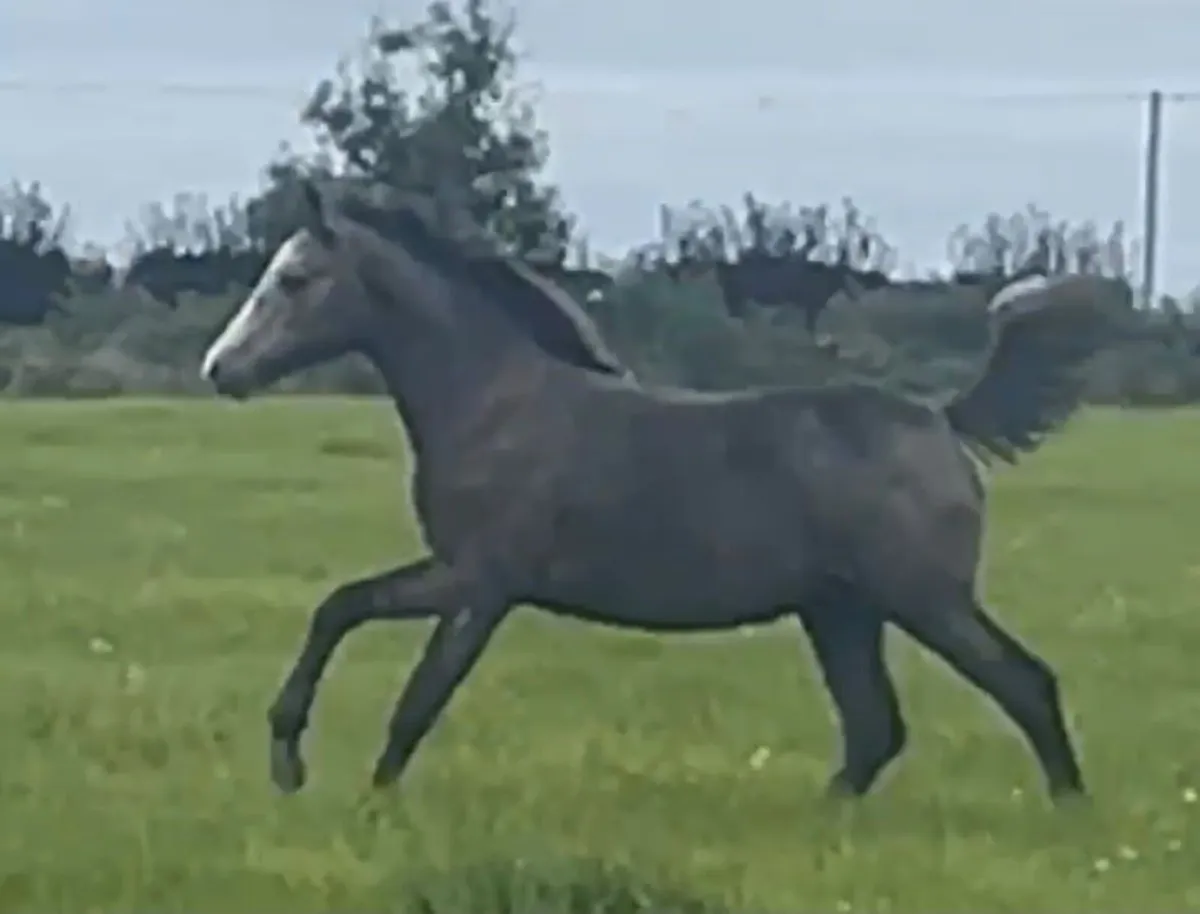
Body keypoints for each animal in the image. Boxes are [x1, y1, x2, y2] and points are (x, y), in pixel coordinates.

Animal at [200, 180, 1120, 803]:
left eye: (294, 279)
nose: (221, 370)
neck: (496, 402)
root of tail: (942, 418)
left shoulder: (479, 583)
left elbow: (413, 692)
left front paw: (356, 792)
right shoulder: (461, 575)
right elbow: (343, 610)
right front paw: (292, 763)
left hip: (923, 599)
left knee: (1022, 684)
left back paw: (1073, 812)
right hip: (841, 610)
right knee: (875, 729)